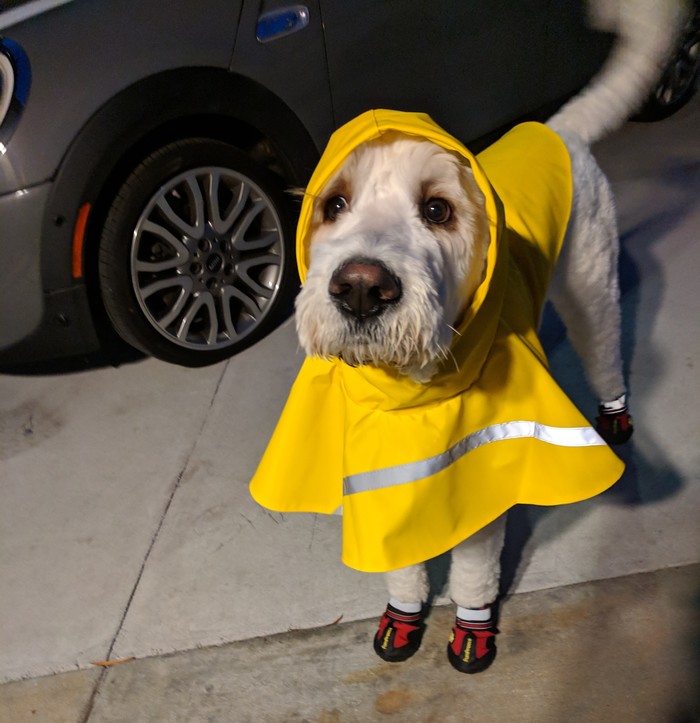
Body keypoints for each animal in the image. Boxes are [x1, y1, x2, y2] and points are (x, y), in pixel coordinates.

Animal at [249, 0, 688, 672]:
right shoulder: (380, 469)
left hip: (592, 287)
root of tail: (558, 129)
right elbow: (402, 568)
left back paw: (615, 415)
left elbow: (474, 570)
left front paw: (472, 628)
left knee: (606, 352)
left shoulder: (482, 468)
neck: (405, 395)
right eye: (335, 204)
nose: (360, 288)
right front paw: (403, 618)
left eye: (438, 210)